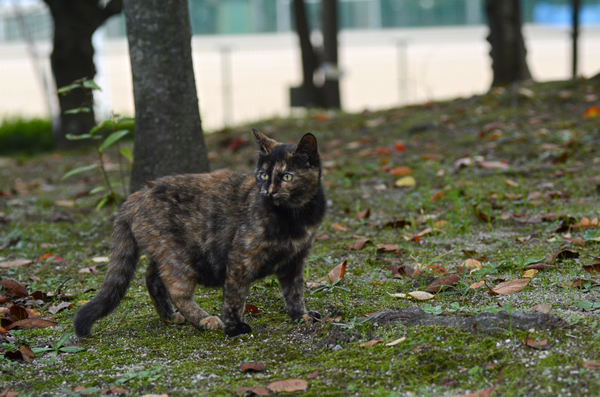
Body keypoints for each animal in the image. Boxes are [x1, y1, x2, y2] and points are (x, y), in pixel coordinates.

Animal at [76, 130, 328, 338]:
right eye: (264, 175)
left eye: (287, 177)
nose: (269, 192)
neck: (294, 218)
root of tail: (138, 195)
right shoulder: (240, 258)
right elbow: (235, 296)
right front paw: (234, 328)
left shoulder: (294, 261)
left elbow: (294, 292)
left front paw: (301, 317)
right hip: (179, 257)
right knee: (176, 289)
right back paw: (204, 320)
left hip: (168, 254)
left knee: (152, 278)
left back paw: (169, 317)